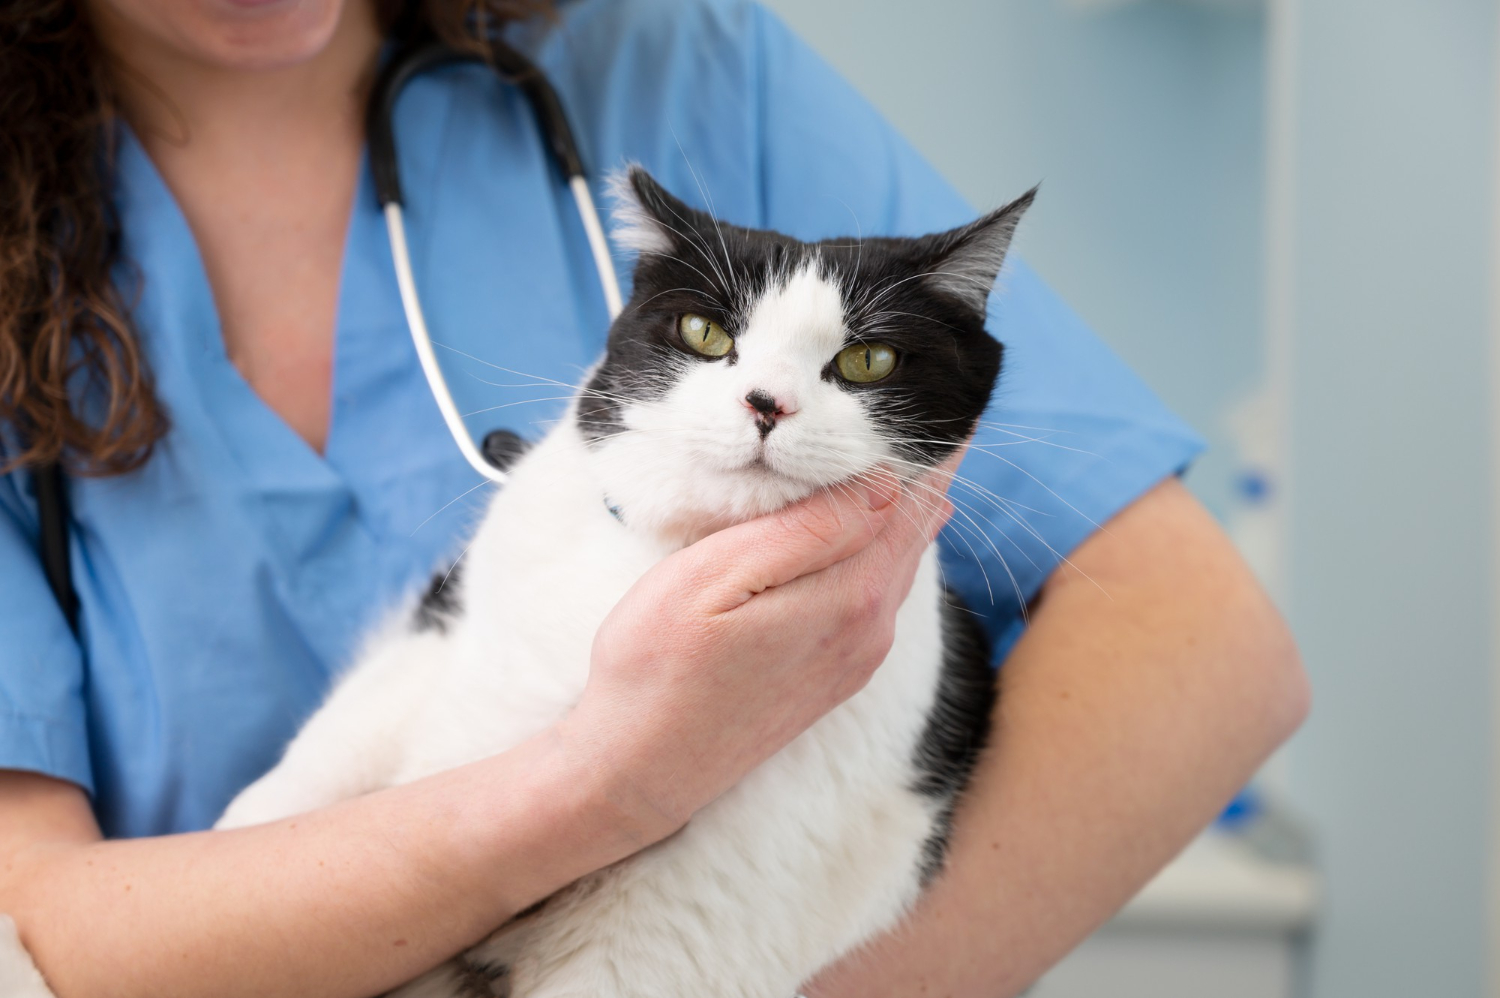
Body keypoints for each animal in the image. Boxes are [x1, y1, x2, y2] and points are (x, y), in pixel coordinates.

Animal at [219, 167, 1032, 990]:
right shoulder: (447, 628)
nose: (766, 404)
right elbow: (333, 746)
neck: (656, 565)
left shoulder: (681, 921)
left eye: (871, 360)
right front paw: (252, 831)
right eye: (704, 333)